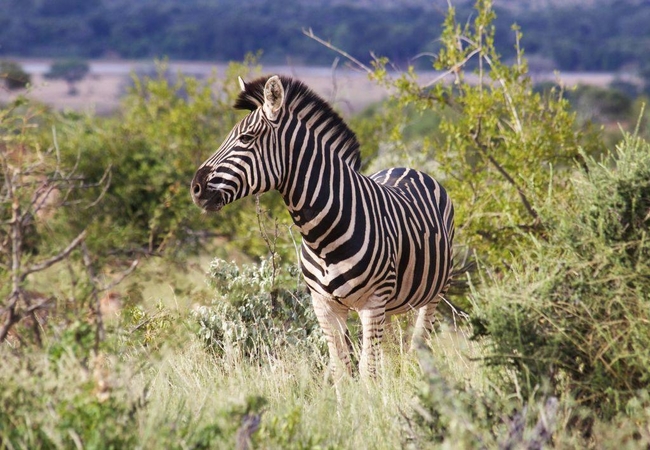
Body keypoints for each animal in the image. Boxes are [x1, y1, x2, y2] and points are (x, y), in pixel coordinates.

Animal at [192, 75, 454, 378]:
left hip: (434, 293)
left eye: (246, 138)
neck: (323, 236)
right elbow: (341, 367)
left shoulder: (372, 302)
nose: (195, 188)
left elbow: (367, 369)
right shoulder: (323, 305)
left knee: (417, 345)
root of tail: (409, 168)